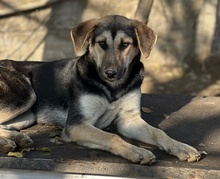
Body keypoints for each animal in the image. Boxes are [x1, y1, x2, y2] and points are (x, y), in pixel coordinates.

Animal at [0, 15, 205, 165]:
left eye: (125, 44)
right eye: (102, 43)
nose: (111, 73)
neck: (112, 88)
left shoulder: (129, 120)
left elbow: (158, 132)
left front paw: (181, 147)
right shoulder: (76, 124)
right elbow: (112, 137)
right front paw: (137, 151)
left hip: (28, 115)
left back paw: (16, 139)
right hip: (25, 95)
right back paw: (8, 143)